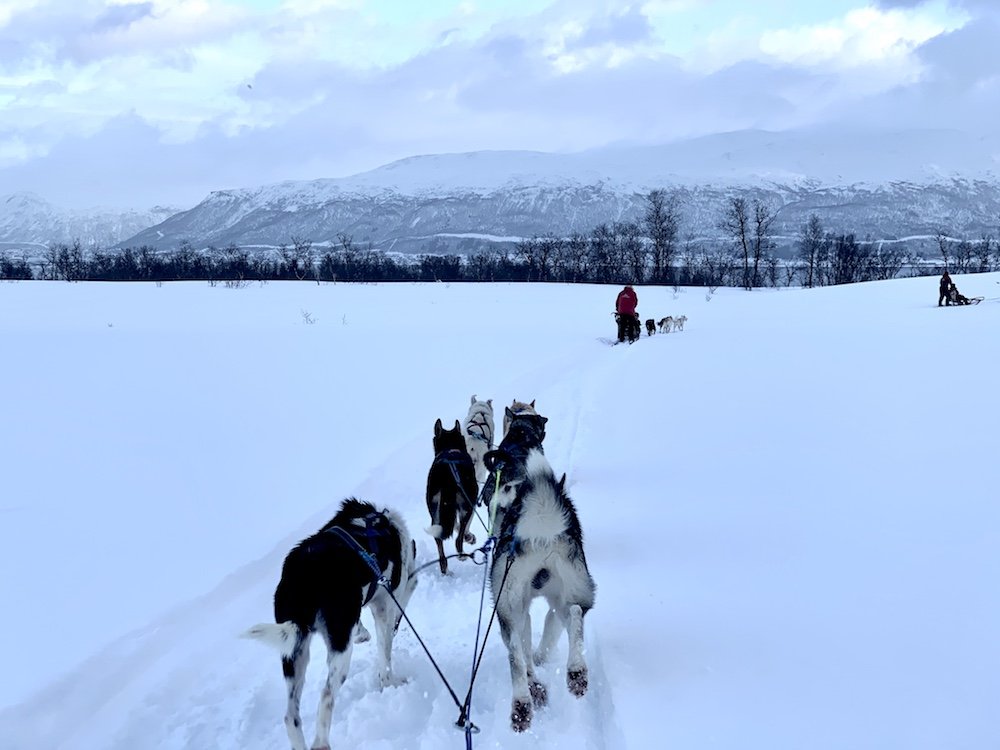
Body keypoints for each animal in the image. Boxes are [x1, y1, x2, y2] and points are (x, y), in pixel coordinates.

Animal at [244, 502, 416, 750]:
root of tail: (301, 576)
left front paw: (362, 633)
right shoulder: (385, 606)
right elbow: (385, 655)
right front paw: (390, 683)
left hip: (295, 653)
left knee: (290, 716)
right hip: (340, 650)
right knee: (326, 695)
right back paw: (321, 743)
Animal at [426, 418, 480, 576]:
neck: (450, 447)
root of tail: (446, 476)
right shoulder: (470, 503)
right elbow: (463, 527)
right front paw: (470, 537)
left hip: (435, 511)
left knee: (438, 539)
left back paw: (445, 568)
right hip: (465, 505)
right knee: (458, 538)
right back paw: (461, 554)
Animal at [490, 452, 596, 736]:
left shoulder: (524, 608)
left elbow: (529, 652)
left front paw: (536, 684)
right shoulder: (537, 605)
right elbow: (546, 633)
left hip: (508, 605)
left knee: (514, 650)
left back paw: (522, 703)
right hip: (571, 589)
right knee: (574, 614)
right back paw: (575, 673)